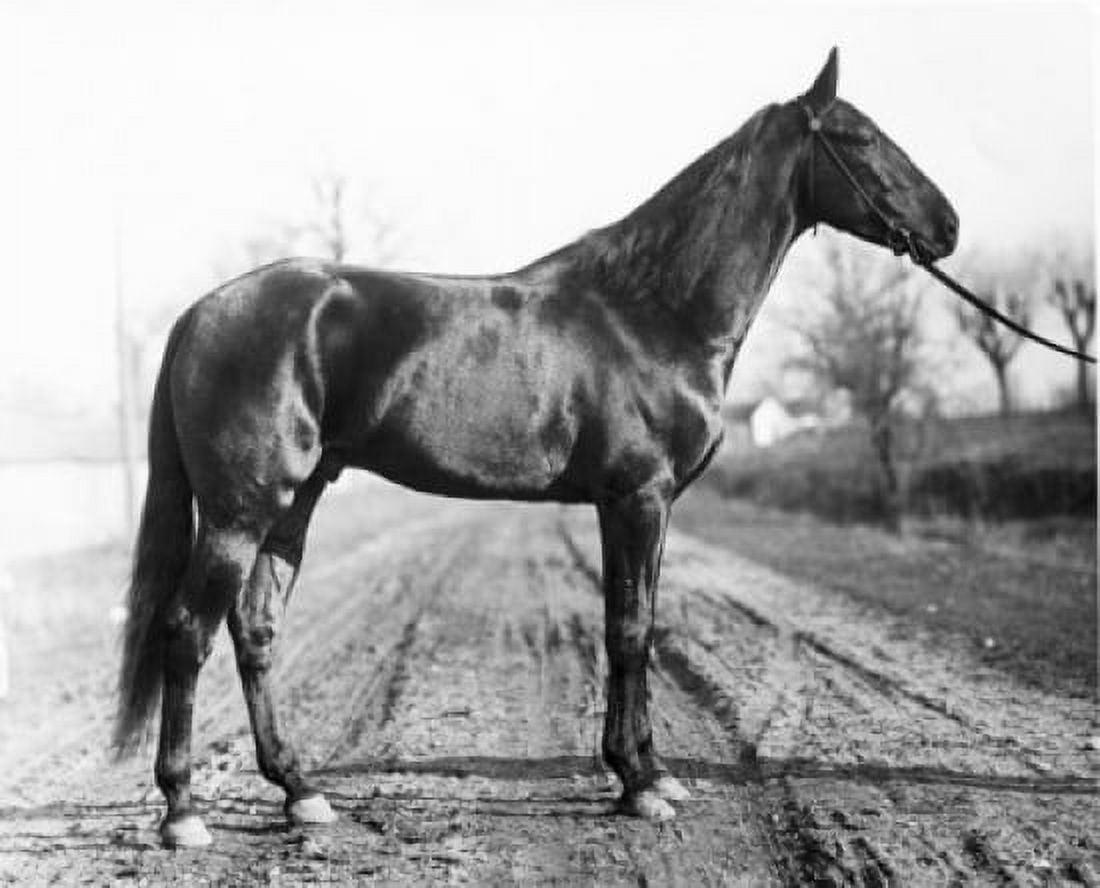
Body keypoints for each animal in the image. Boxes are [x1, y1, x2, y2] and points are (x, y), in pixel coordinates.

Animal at [114, 47, 958, 847]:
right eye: (860, 136)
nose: (948, 226)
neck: (650, 312)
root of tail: (200, 313)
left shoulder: (636, 505)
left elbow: (635, 624)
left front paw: (646, 772)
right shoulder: (637, 498)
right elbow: (629, 631)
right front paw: (639, 784)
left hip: (292, 505)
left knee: (254, 631)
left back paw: (301, 792)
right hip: (239, 513)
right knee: (186, 632)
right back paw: (183, 811)